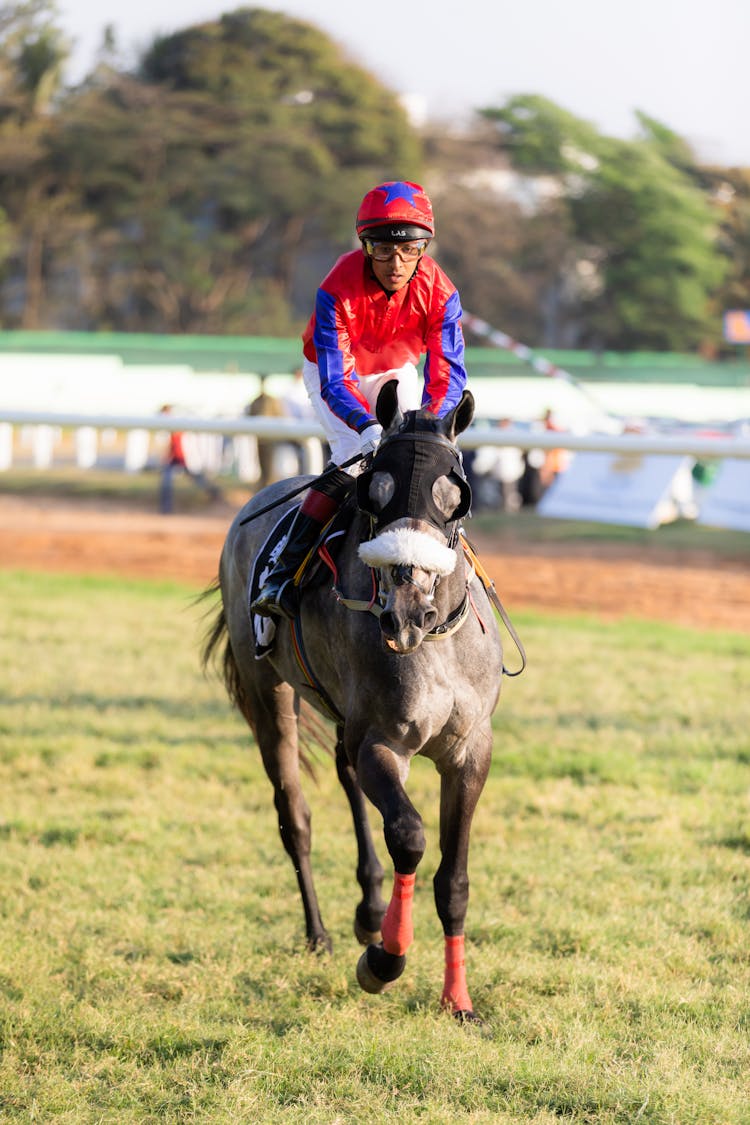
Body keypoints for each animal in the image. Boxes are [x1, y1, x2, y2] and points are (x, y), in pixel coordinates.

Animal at [205, 380, 508, 1021]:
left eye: (455, 497)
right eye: (378, 492)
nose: (405, 613)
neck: (434, 642)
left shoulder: (470, 751)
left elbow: (454, 879)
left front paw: (457, 999)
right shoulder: (383, 742)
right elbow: (410, 836)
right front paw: (385, 961)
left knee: (345, 779)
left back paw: (368, 910)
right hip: (268, 691)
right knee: (294, 814)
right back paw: (320, 932)